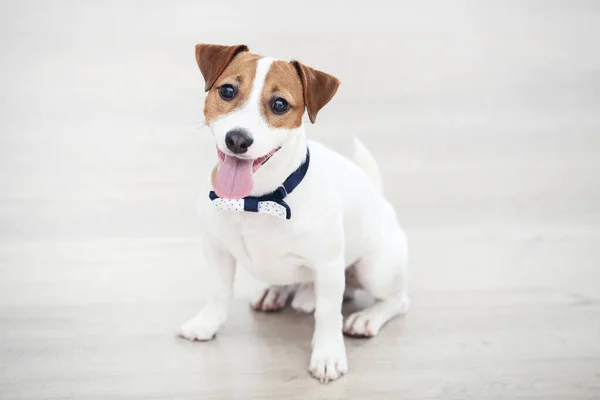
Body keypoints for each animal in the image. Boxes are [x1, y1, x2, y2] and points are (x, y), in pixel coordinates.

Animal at [178, 43, 410, 384]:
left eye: (279, 104)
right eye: (228, 90)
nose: (238, 139)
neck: (257, 199)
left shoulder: (328, 266)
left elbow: (327, 315)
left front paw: (327, 355)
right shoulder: (216, 249)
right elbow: (219, 292)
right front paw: (206, 324)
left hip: (375, 269)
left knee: (397, 300)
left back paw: (367, 318)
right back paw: (276, 292)